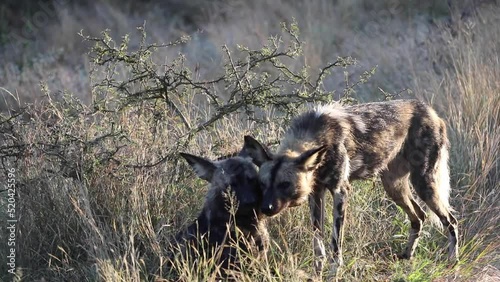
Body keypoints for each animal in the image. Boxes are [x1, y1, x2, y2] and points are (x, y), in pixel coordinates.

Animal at [242, 98, 458, 274]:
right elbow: (317, 241)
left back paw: (452, 260)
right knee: (419, 217)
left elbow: (335, 241)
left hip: (424, 183)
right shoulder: (316, 194)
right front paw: (318, 271)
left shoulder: (340, 192)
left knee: (451, 220)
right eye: (262, 184)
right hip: (394, 187)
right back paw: (407, 255)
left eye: (285, 184)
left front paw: (334, 271)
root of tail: (431, 111)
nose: (266, 208)